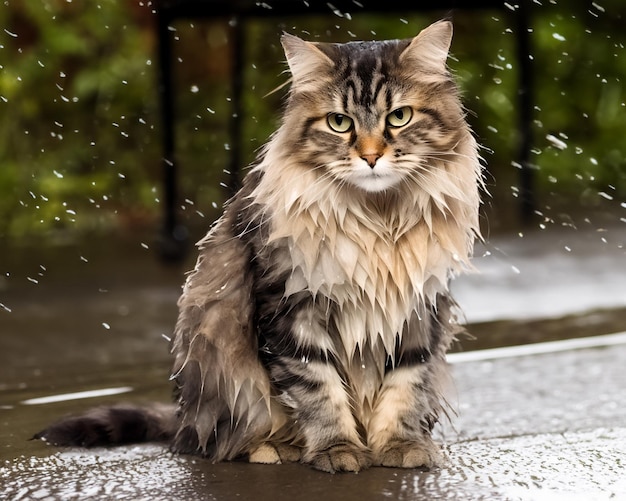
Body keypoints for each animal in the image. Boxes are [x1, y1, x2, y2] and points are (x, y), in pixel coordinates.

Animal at [35, 19, 482, 472]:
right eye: (339, 122)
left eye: (400, 116)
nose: (371, 157)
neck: (379, 219)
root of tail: (183, 418)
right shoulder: (290, 307)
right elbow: (319, 391)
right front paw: (338, 449)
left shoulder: (419, 309)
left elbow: (405, 385)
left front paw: (399, 445)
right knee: (221, 440)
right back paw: (272, 449)